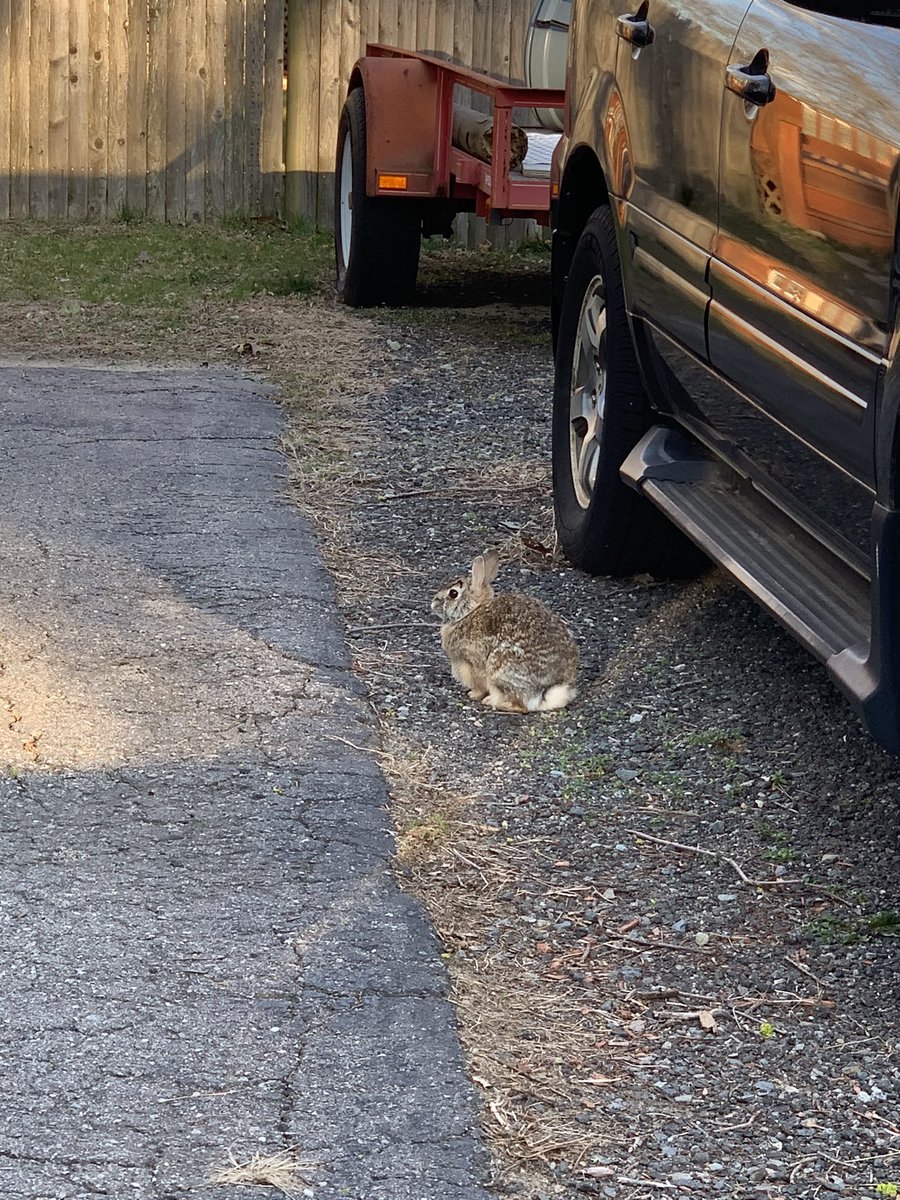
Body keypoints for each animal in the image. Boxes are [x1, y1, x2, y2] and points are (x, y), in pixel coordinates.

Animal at [431, 549, 578, 713]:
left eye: (453, 593)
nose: (433, 603)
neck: (470, 612)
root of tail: (544, 694)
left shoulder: (471, 663)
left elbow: (479, 685)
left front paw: (473, 694)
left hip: (499, 669)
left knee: (521, 706)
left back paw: (493, 702)